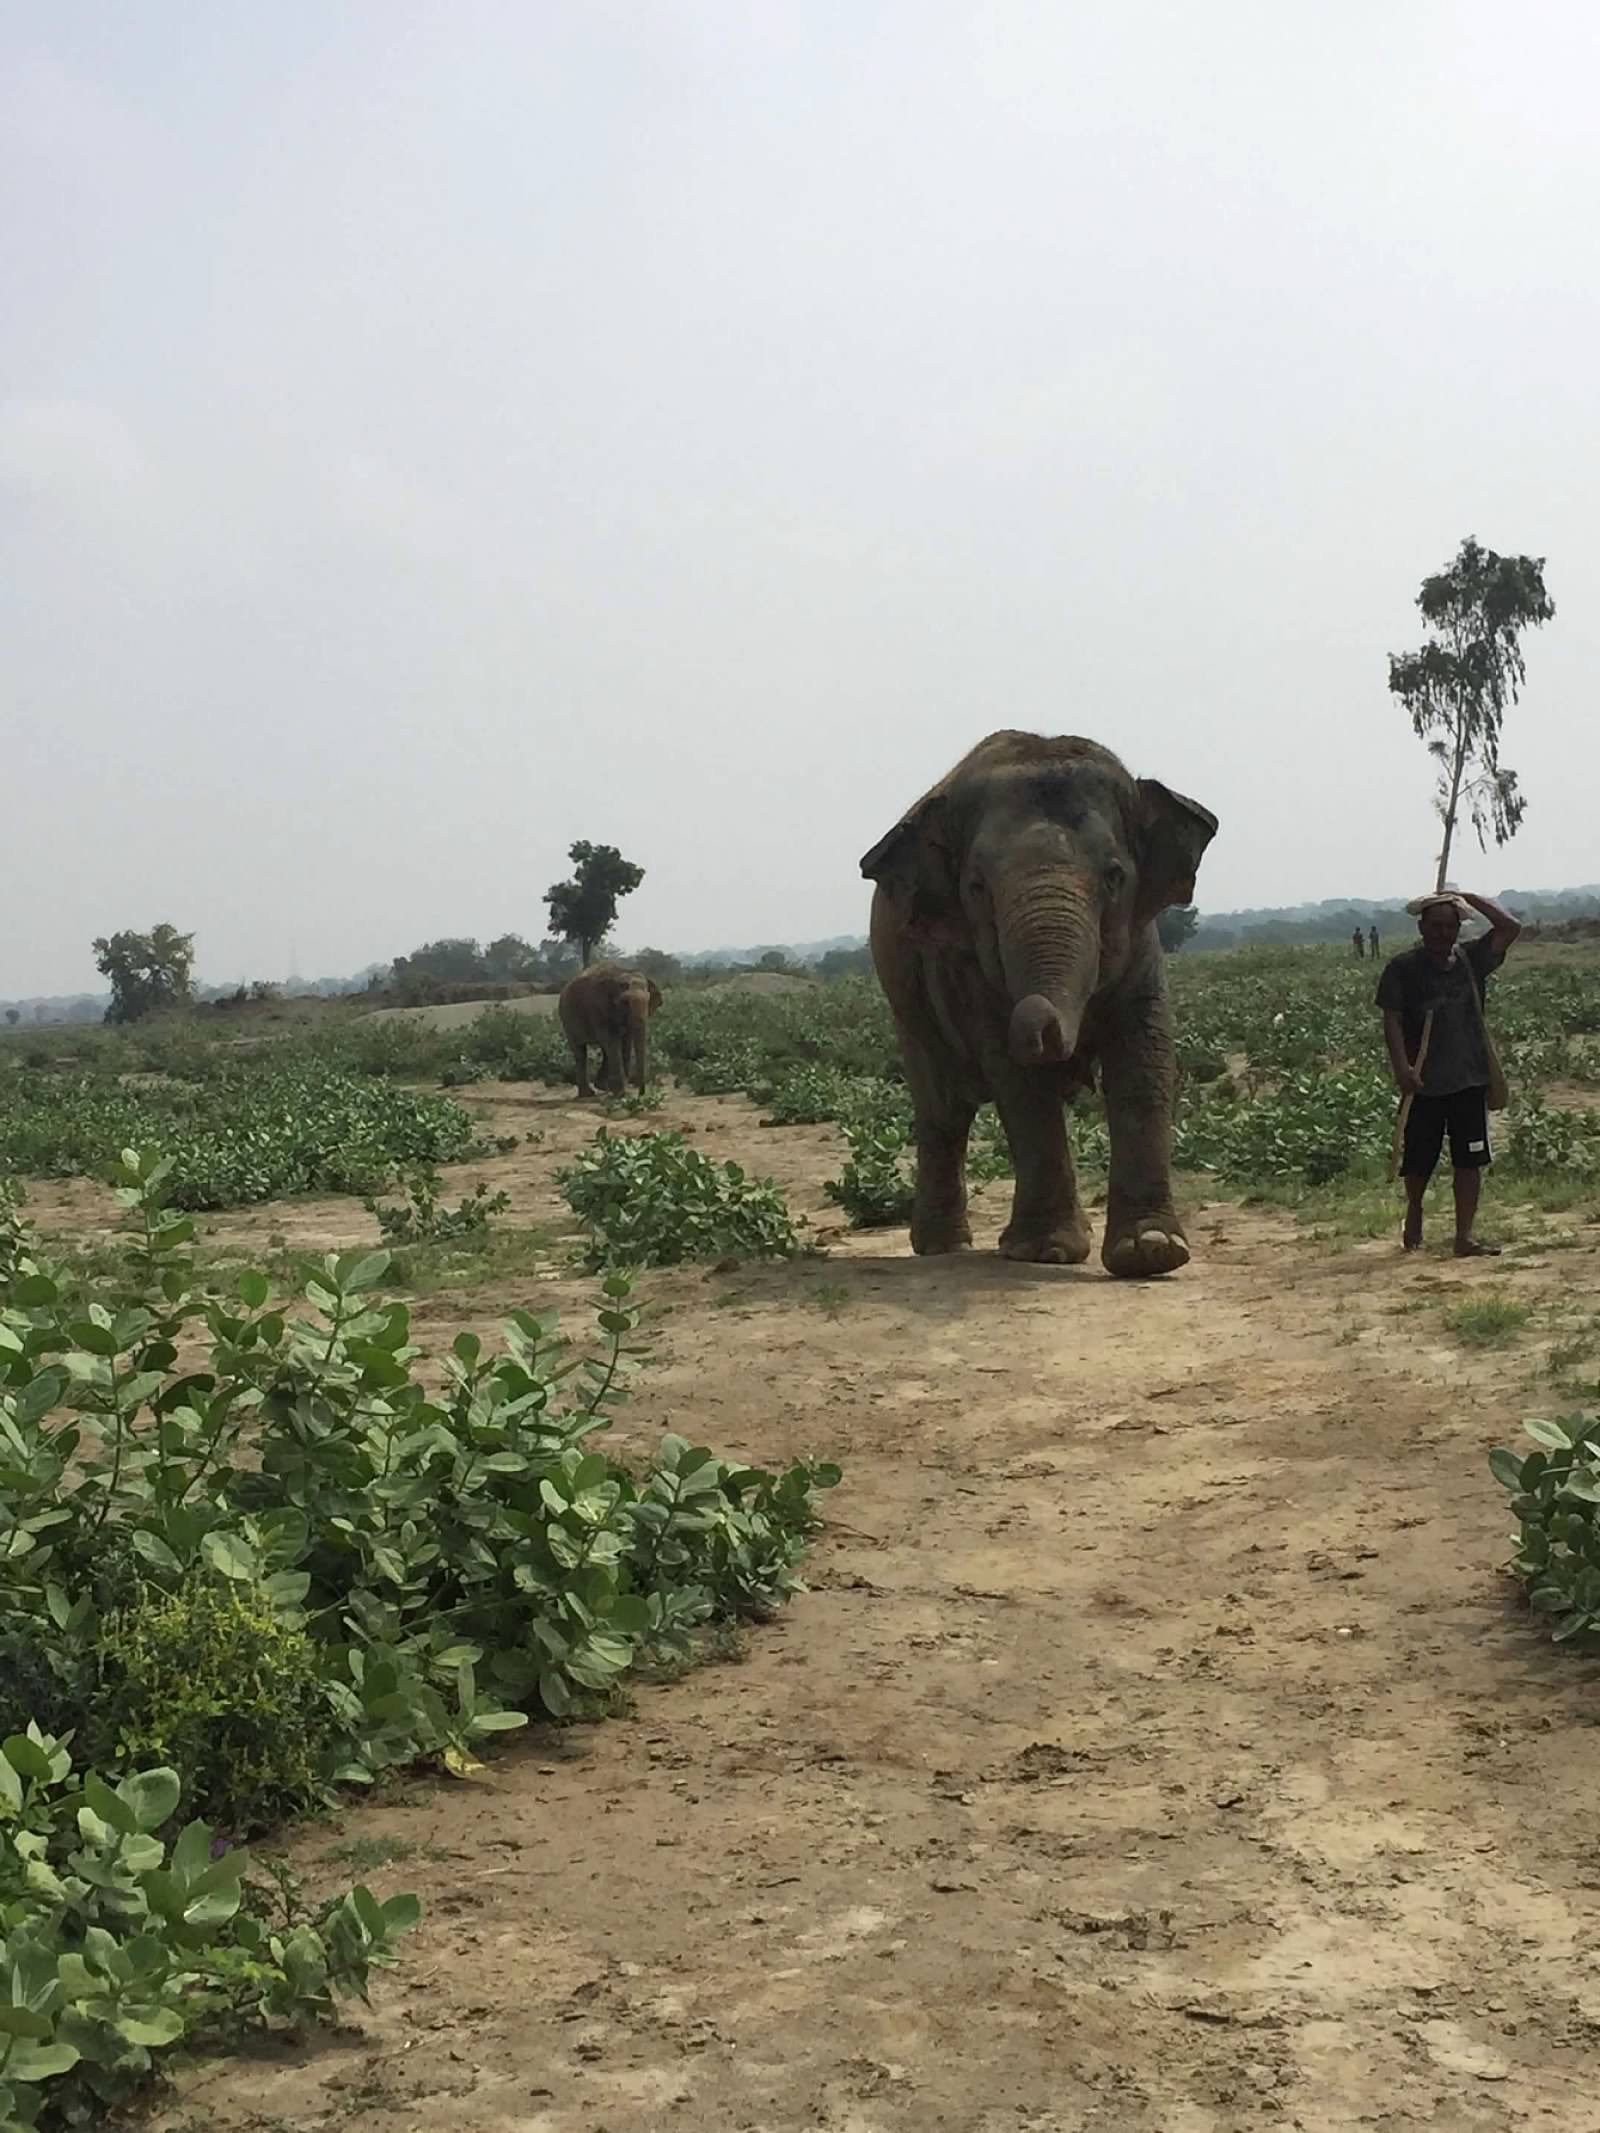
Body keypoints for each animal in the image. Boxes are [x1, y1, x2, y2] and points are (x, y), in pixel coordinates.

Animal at [558, 963, 663, 1097]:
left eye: (648, 1001)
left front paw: (620, 1091)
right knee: (581, 1053)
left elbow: (625, 1042)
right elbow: (612, 1041)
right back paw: (588, 1094)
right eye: (625, 1002)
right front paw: (621, 1094)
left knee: (605, 1051)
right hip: (567, 1020)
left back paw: (602, 1087)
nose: (641, 1094)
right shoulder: (598, 1009)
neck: (620, 974)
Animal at [859, 730, 1217, 1279]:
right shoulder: (962, 969)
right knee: (942, 1112)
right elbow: (1019, 1083)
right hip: (909, 1011)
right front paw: (1047, 1253)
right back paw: (943, 1247)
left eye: (1115, 876)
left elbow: (1143, 1057)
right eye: (976, 888)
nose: (1045, 1032)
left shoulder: (1142, 947)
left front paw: (1152, 1252)